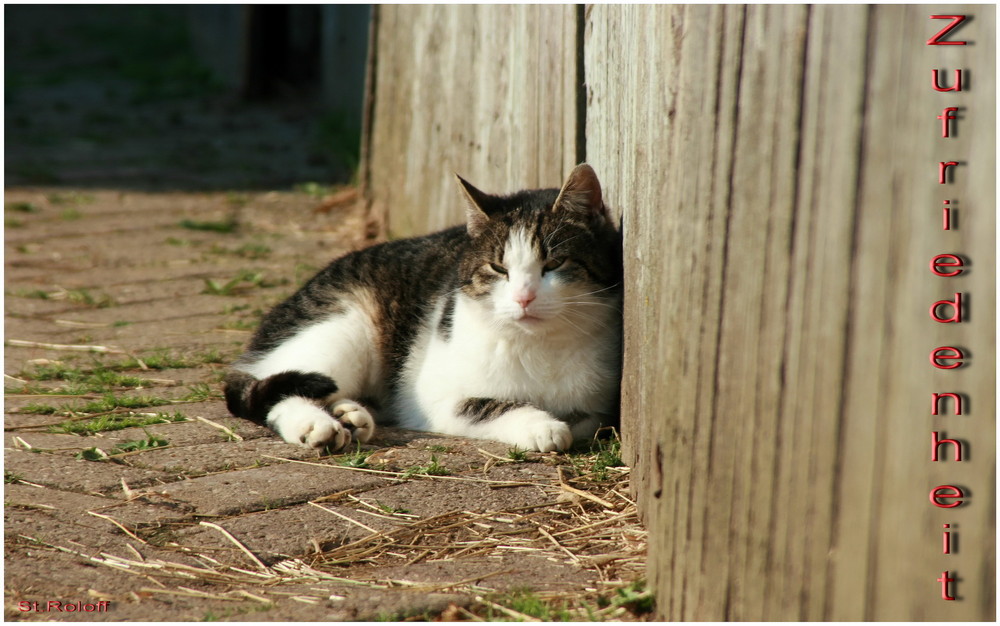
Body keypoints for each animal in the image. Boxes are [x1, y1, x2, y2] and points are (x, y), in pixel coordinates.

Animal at [223, 163, 620, 450]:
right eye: (499, 268)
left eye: (554, 264)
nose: (524, 297)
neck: (539, 346)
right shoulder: (434, 398)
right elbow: (486, 406)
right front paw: (541, 425)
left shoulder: (599, 406)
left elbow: (585, 419)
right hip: (341, 333)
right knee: (279, 387)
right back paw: (316, 424)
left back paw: (349, 415)